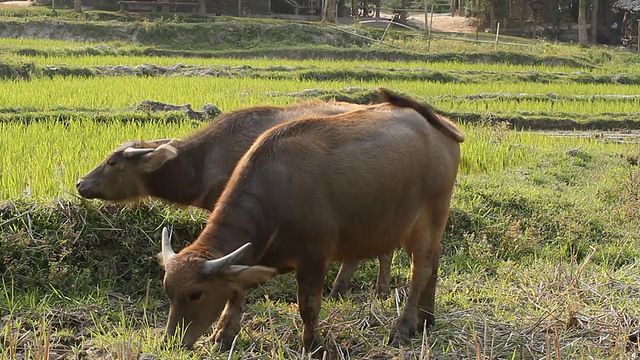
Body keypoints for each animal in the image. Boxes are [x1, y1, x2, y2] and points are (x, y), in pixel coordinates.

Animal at [158, 89, 462, 354]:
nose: (171, 342)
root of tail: (441, 124)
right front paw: (223, 336)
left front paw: (313, 344)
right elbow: (236, 293)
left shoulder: (314, 258)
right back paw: (426, 318)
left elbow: (309, 305)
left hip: (428, 217)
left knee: (420, 269)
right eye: (169, 291)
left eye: (196, 294)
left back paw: (404, 326)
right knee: (433, 261)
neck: (274, 195)